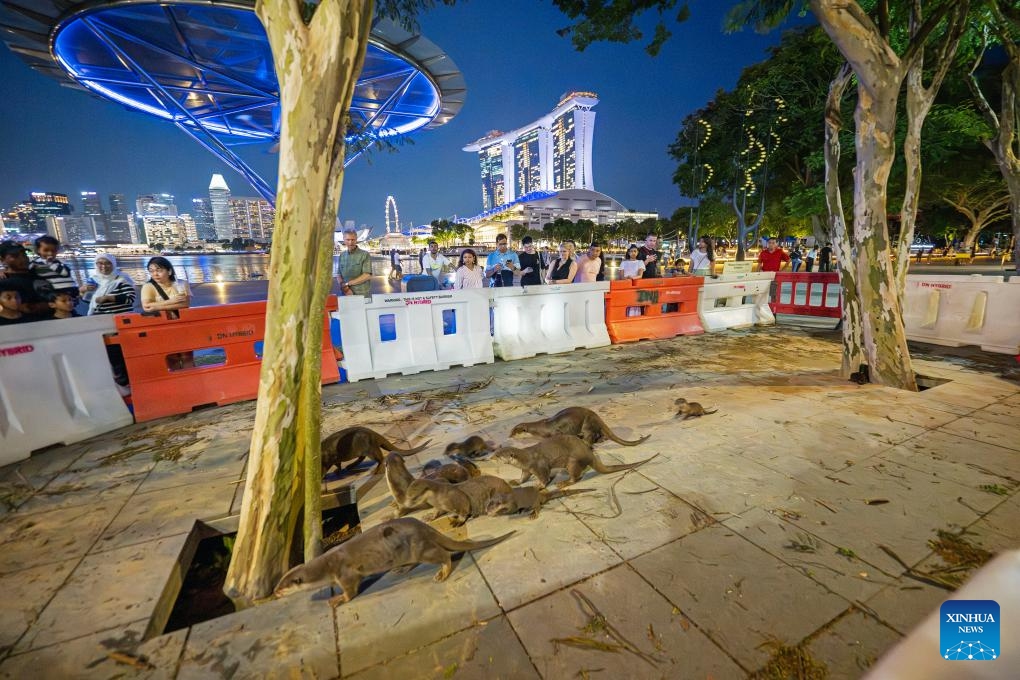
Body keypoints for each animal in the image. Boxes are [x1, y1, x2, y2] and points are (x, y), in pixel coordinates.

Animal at [274, 518, 514, 606]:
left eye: (283, 586)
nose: (274, 593)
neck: (327, 565)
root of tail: (426, 527)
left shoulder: (345, 573)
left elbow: (351, 590)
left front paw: (338, 599)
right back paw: (402, 569)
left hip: (420, 548)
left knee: (443, 555)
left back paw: (442, 573)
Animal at [493, 435, 658, 487]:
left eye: (498, 455)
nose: (491, 456)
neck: (526, 457)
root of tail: (589, 454)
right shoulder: (526, 469)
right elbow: (523, 477)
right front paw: (515, 481)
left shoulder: (539, 465)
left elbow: (544, 476)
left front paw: (539, 485)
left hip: (572, 462)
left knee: (576, 477)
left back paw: (564, 483)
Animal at [510, 407, 649, 446]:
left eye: (513, 432)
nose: (509, 436)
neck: (541, 428)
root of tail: (597, 417)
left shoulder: (555, 432)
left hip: (587, 423)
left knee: (590, 435)